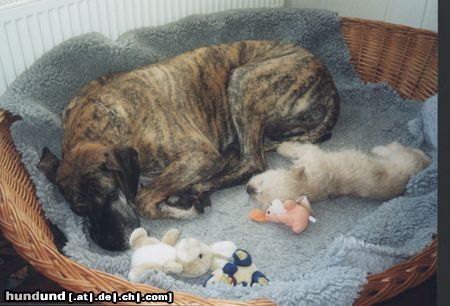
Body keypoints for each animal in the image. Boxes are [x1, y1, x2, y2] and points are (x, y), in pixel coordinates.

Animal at [38, 40, 340, 251]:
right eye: (79, 209)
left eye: (111, 193)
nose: (113, 245)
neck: (107, 117)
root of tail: (330, 84)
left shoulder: (200, 154)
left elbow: (143, 198)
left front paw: (182, 206)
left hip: (243, 78)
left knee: (252, 162)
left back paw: (198, 188)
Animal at [248, 142, 430, 210]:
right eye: (261, 201)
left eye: (262, 183)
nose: (248, 189)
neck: (308, 184)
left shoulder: (311, 153)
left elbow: (297, 148)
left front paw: (283, 146)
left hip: (404, 157)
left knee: (407, 150)